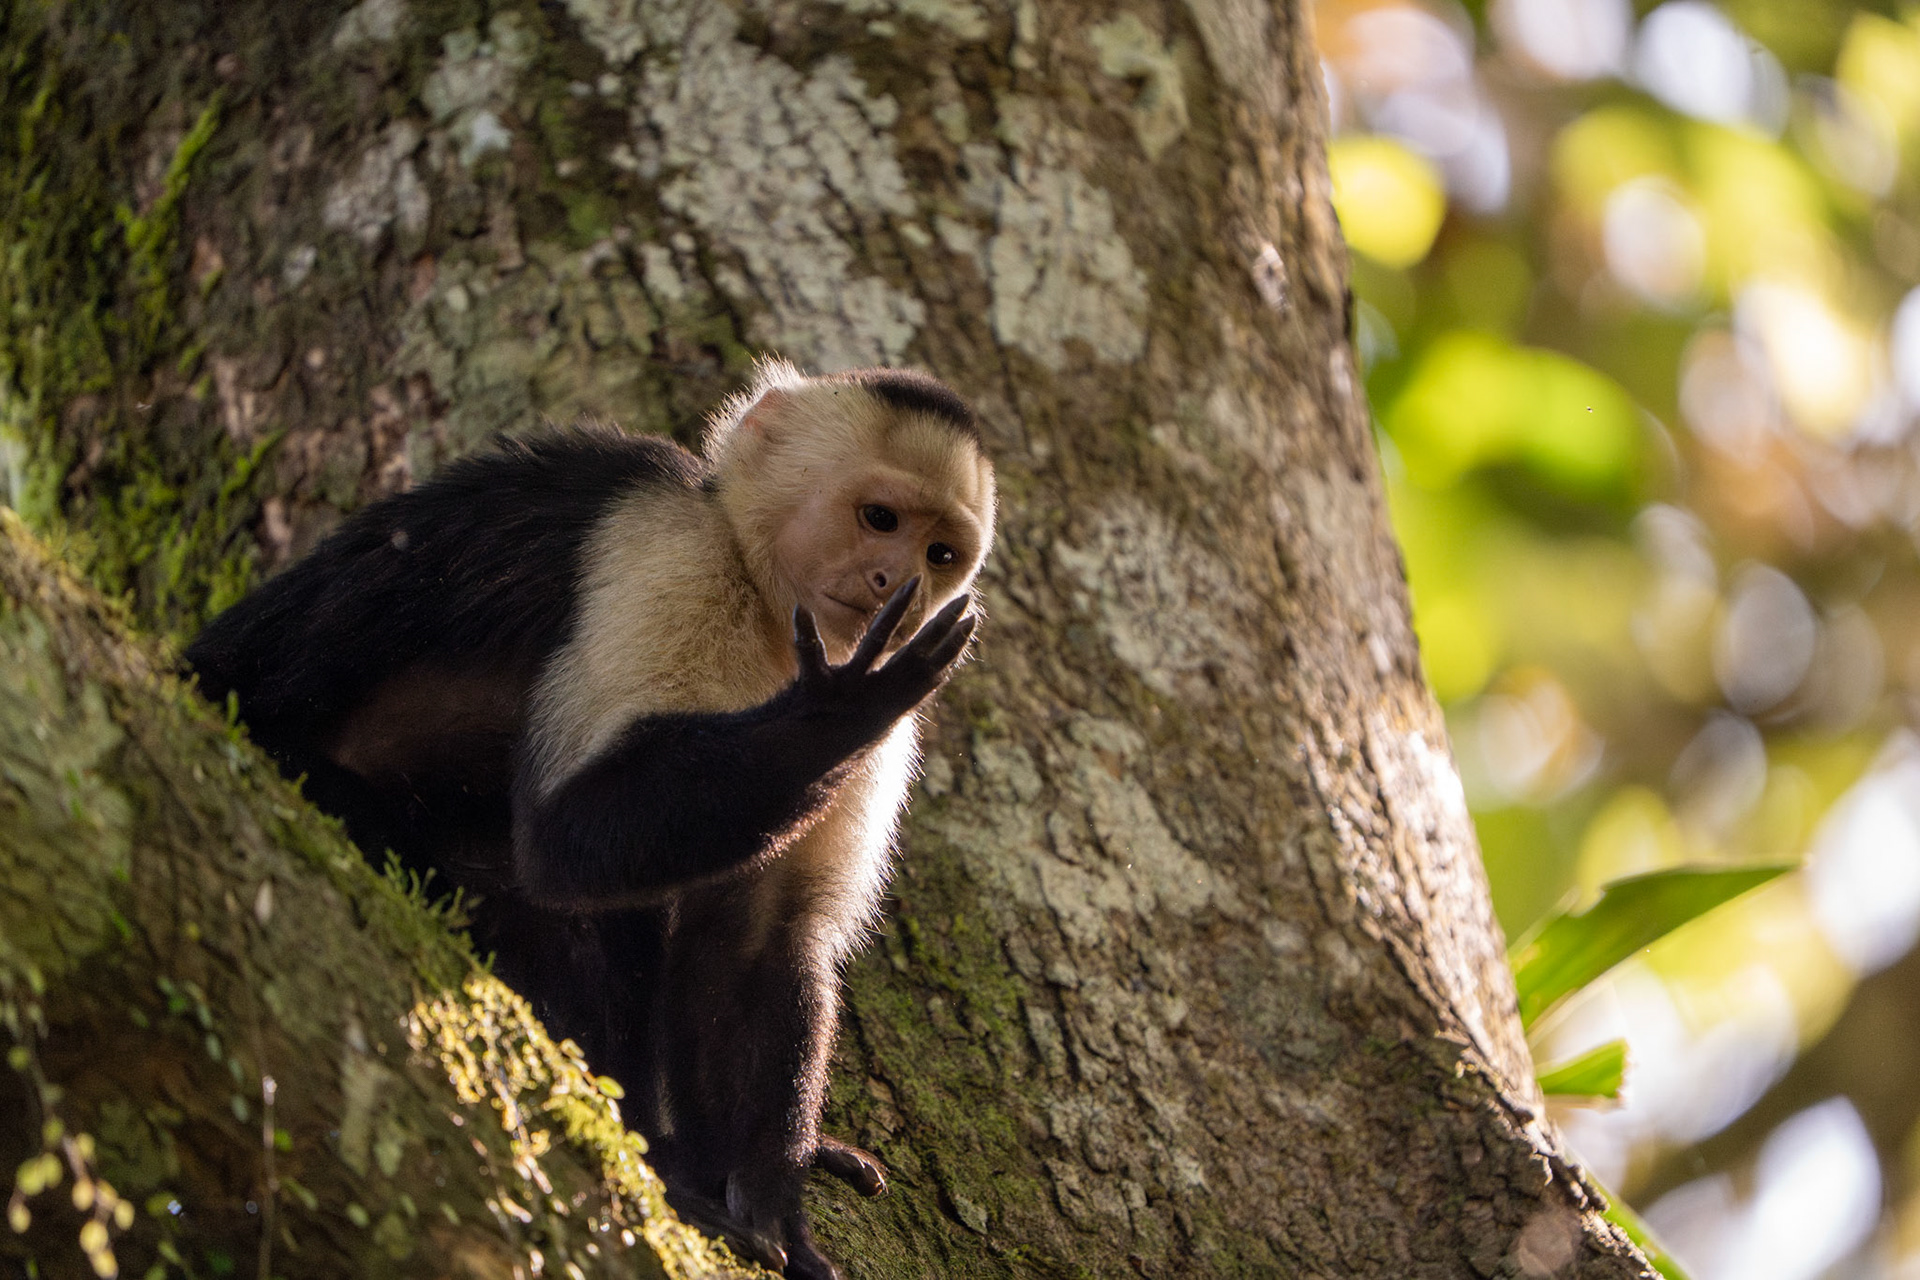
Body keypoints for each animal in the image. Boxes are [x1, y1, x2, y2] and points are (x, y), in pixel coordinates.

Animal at [185, 360, 996, 1279]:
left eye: (940, 554)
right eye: (880, 519)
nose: (901, 585)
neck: (763, 608)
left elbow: (762, 936)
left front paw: (770, 1197)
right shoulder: (665, 548)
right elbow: (563, 838)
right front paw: (833, 714)